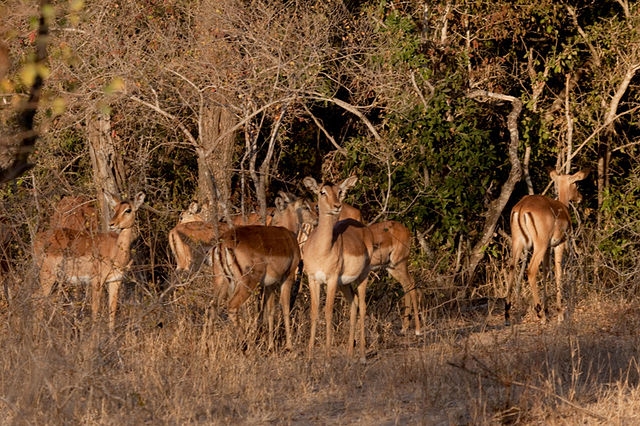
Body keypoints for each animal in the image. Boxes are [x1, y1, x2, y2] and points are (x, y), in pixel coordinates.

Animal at [35, 191, 146, 332]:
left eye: (128, 210)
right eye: (114, 208)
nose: (112, 224)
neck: (116, 252)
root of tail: (38, 239)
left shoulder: (115, 281)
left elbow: (112, 311)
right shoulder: (96, 282)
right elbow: (95, 310)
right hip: (47, 276)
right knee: (38, 300)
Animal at [302, 176, 372, 362]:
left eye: (339, 191)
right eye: (322, 191)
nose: (337, 206)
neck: (322, 250)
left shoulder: (331, 279)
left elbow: (328, 312)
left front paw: (327, 358)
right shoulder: (313, 279)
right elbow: (314, 312)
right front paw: (309, 357)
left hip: (363, 276)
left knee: (363, 306)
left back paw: (363, 356)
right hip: (344, 284)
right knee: (354, 303)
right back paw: (349, 354)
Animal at [504, 168, 592, 324]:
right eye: (575, 183)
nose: (580, 197)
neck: (562, 207)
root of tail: (522, 208)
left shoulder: (547, 249)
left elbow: (545, 271)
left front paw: (547, 310)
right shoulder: (559, 244)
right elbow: (558, 272)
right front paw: (559, 314)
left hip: (518, 243)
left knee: (512, 268)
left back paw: (508, 316)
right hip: (539, 245)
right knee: (531, 271)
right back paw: (540, 315)